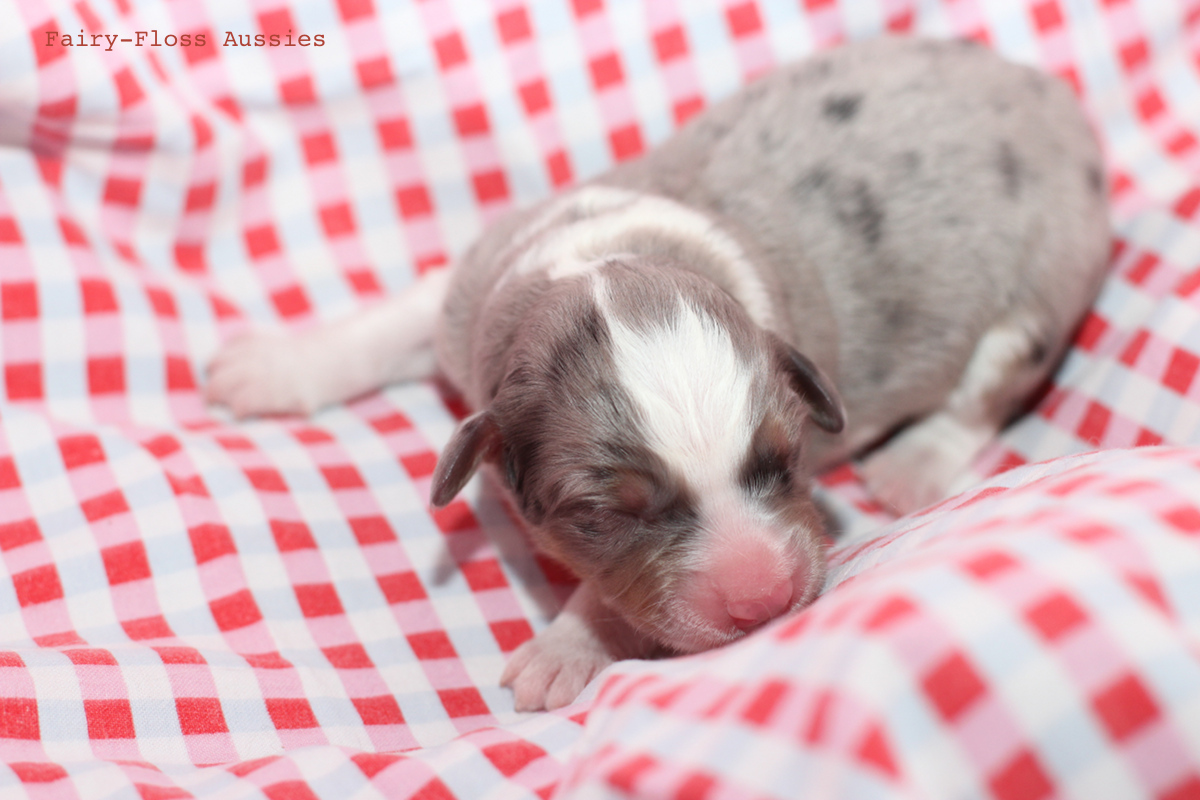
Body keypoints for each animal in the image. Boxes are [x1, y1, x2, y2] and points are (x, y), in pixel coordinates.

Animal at [208, 37, 1113, 714]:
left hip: (1047, 277)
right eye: (607, 515)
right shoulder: (471, 298)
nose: (764, 603)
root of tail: (1050, 96)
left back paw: (911, 464)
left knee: (987, 392)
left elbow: (608, 594)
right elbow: (388, 322)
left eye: (785, 461)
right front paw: (271, 365)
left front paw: (566, 644)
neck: (611, 254)